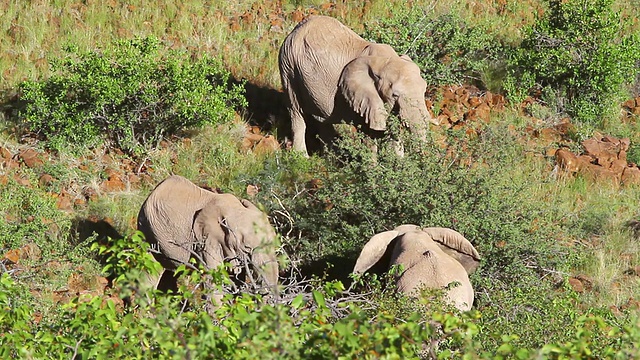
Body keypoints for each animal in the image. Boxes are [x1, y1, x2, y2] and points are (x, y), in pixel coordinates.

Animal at [136, 174, 278, 300]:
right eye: (247, 248)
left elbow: (235, 280)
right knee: (149, 271)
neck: (235, 209)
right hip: (147, 230)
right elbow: (213, 282)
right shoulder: (206, 240)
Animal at [278, 15, 438, 156]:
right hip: (289, 68)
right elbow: (370, 134)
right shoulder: (363, 100)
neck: (385, 61)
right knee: (296, 112)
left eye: (424, 89)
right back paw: (302, 158)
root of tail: (293, 31)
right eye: (395, 95)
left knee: (321, 118)